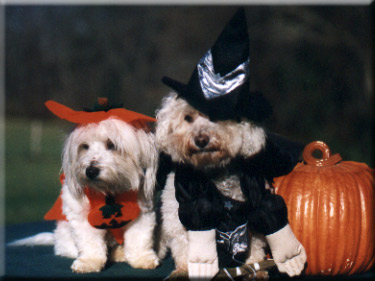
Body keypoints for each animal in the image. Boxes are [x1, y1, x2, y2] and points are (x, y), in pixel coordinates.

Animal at [10, 103, 160, 272]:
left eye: (111, 145)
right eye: (85, 146)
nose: (91, 171)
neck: (110, 191)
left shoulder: (142, 213)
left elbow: (139, 239)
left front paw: (142, 259)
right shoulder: (82, 217)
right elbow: (90, 242)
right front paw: (89, 262)